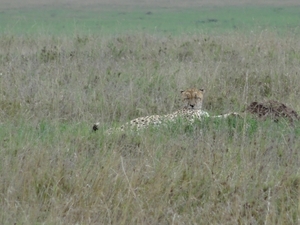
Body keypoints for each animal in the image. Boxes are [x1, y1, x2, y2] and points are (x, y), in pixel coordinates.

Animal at [94, 88, 239, 134]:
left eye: (196, 97)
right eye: (187, 98)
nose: (192, 105)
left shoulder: (205, 117)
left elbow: (219, 116)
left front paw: (235, 114)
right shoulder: (191, 121)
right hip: (140, 125)